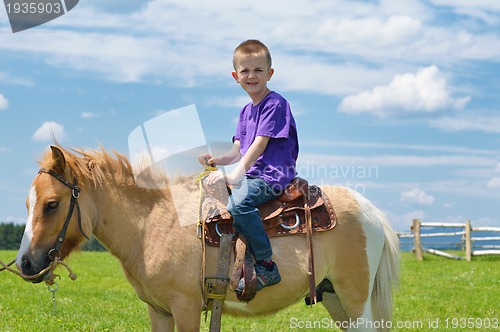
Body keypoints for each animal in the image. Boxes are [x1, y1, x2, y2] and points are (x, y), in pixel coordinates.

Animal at [14, 146, 398, 332]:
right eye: (28, 204)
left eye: (51, 204)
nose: (25, 263)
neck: (152, 223)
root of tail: (371, 211)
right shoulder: (159, 312)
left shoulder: (185, 309)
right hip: (335, 300)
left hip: (355, 303)